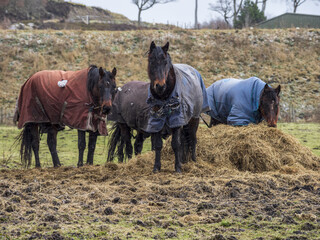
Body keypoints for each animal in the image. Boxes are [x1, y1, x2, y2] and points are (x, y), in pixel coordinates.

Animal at [146, 41, 210, 172]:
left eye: (165, 62)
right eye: (151, 61)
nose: (160, 86)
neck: (164, 97)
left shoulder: (176, 120)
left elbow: (176, 144)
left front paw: (178, 168)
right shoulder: (156, 120)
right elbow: (158, 144)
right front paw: (156, 167)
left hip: (194, 119)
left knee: (192, 139)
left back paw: (193, 160)